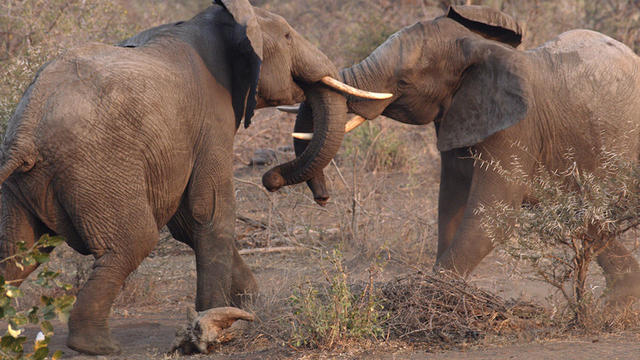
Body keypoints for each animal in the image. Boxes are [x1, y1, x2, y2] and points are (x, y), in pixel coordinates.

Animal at [0, 0, 384, 354]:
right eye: (289, 36)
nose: (270, 181)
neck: (226, 20)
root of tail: (27, 129)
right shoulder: (212, 117)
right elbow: (209, 210)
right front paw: (215, 321)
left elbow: (188, 222)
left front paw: (251, 305)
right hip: (97, 167)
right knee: (132, 243)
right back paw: (97, 346)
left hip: (26, 184)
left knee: (16, 256)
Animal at [282, 6, 640, 300]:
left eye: (404, 82)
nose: (323, 198)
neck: (479, 48)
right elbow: (449, 204)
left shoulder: (516, 129)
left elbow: (490, 216)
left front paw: (431, 294)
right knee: (582, 216)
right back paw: (622, 299)